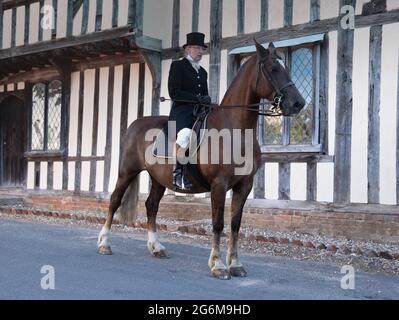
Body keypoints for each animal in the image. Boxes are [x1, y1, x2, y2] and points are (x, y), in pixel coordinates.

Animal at [97, 41, 306, 278]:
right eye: (273, 69)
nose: (298, 103)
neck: (235, 130)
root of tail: (134, 124)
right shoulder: (218, 184)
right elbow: (218, 223)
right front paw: (218, 265)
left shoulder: (244, 185)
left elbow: (235, 224)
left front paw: (235, 264)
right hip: (127, 171)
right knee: (114, 201)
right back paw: (104, 244)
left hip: (159, 179)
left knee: (151, 206)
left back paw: (156, 247)